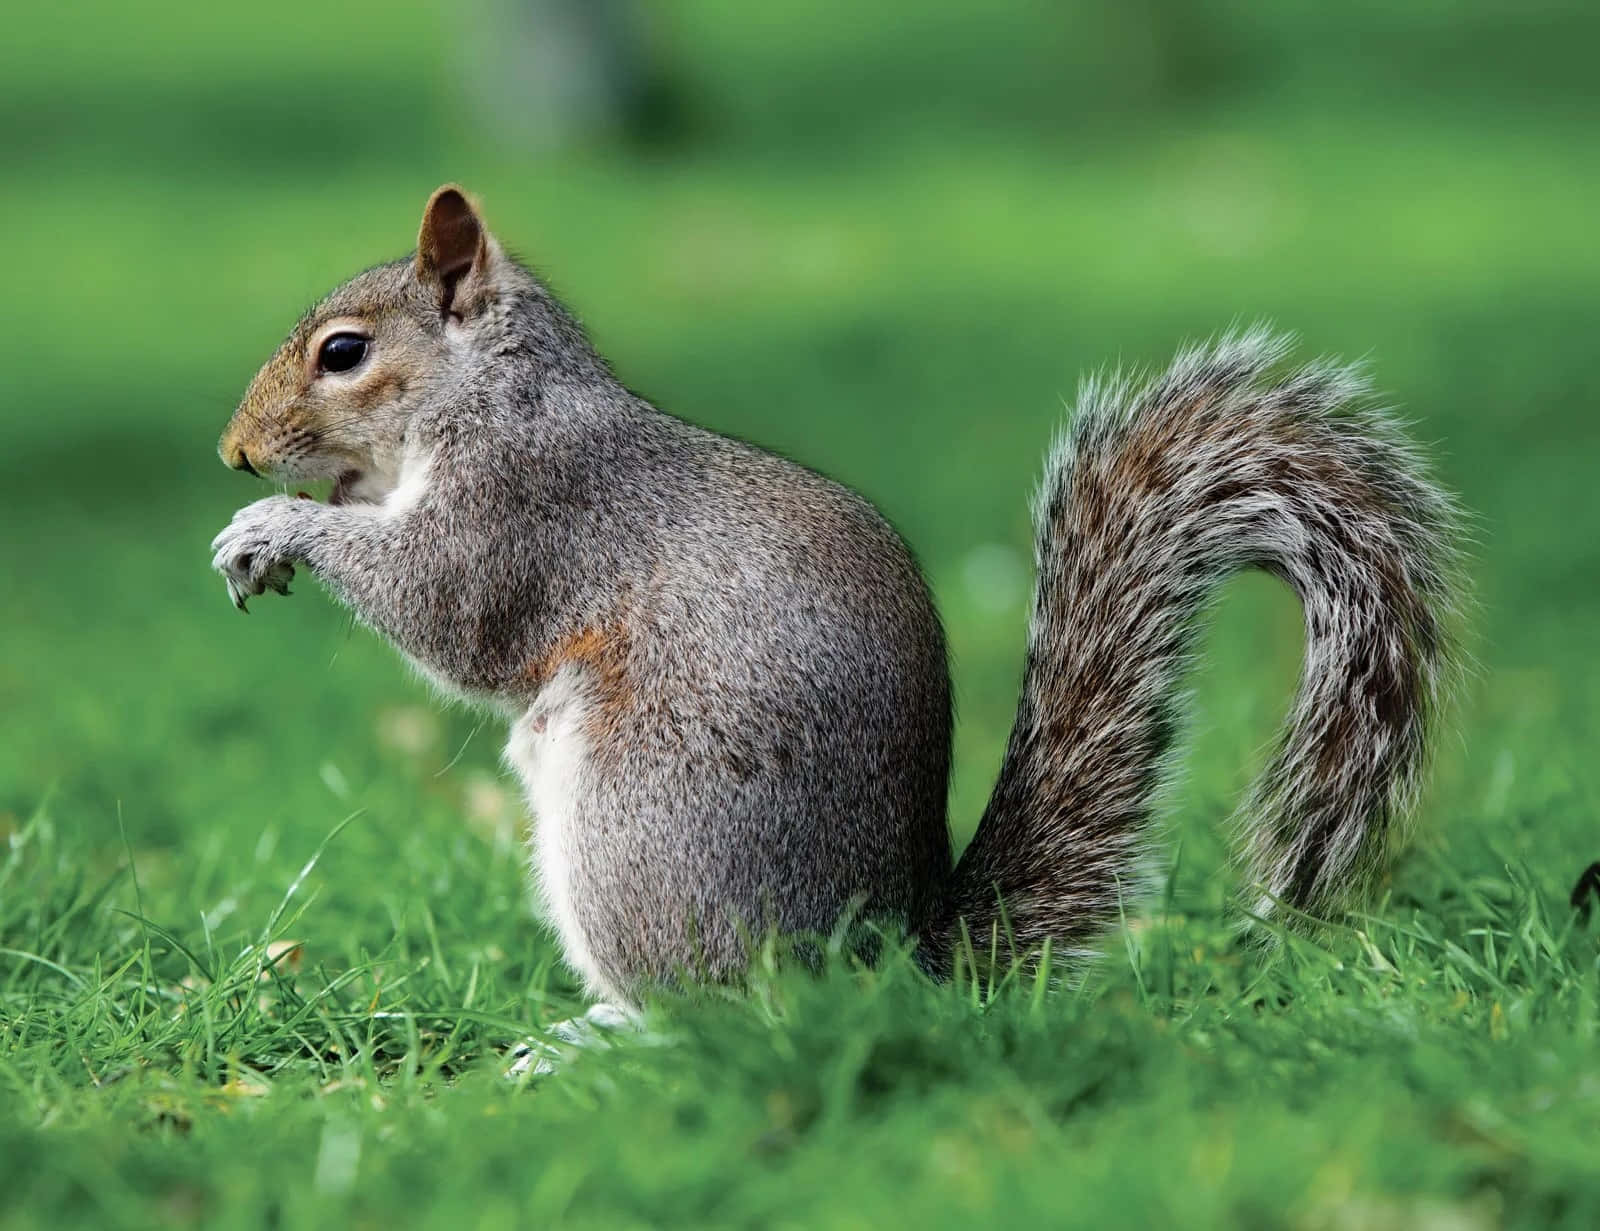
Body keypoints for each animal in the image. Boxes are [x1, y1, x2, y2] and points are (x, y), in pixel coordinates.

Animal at [212, 182, 1465, 1011]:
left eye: (342, 352)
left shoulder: (524, 508)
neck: (489, 394)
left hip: (638, 833)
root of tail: (890, 958)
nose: (235, 454)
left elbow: (447, 612)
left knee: (715, 1014)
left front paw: (278, 527)